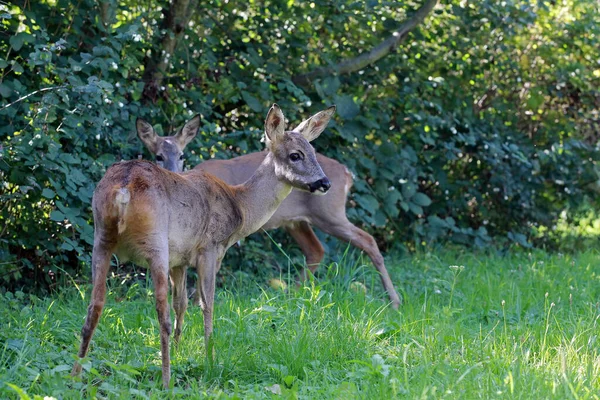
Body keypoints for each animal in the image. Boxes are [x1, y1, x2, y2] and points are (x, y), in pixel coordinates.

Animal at [73, 104, 336, 388]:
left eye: (314, 152)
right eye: (295, 155)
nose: (325, 183)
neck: (239, 205)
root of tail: (123, 189)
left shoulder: (180, 259)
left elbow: (182, 303)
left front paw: (180, 351)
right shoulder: (210, 248)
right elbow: (206, 303)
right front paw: (210, 357)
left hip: (100, 238)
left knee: (94, 306)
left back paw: (75, 375)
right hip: (156, 243)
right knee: (161, 312)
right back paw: (166, 381)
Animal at [139, 108, 404, 308]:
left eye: (182, 155)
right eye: (158, 155)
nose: (324, 182)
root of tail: (348, 174)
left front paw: (197, 305)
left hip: (330, 213)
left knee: (367, 240)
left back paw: (394, 301)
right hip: (297, 221)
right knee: (316, 250)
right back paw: (290, 295)